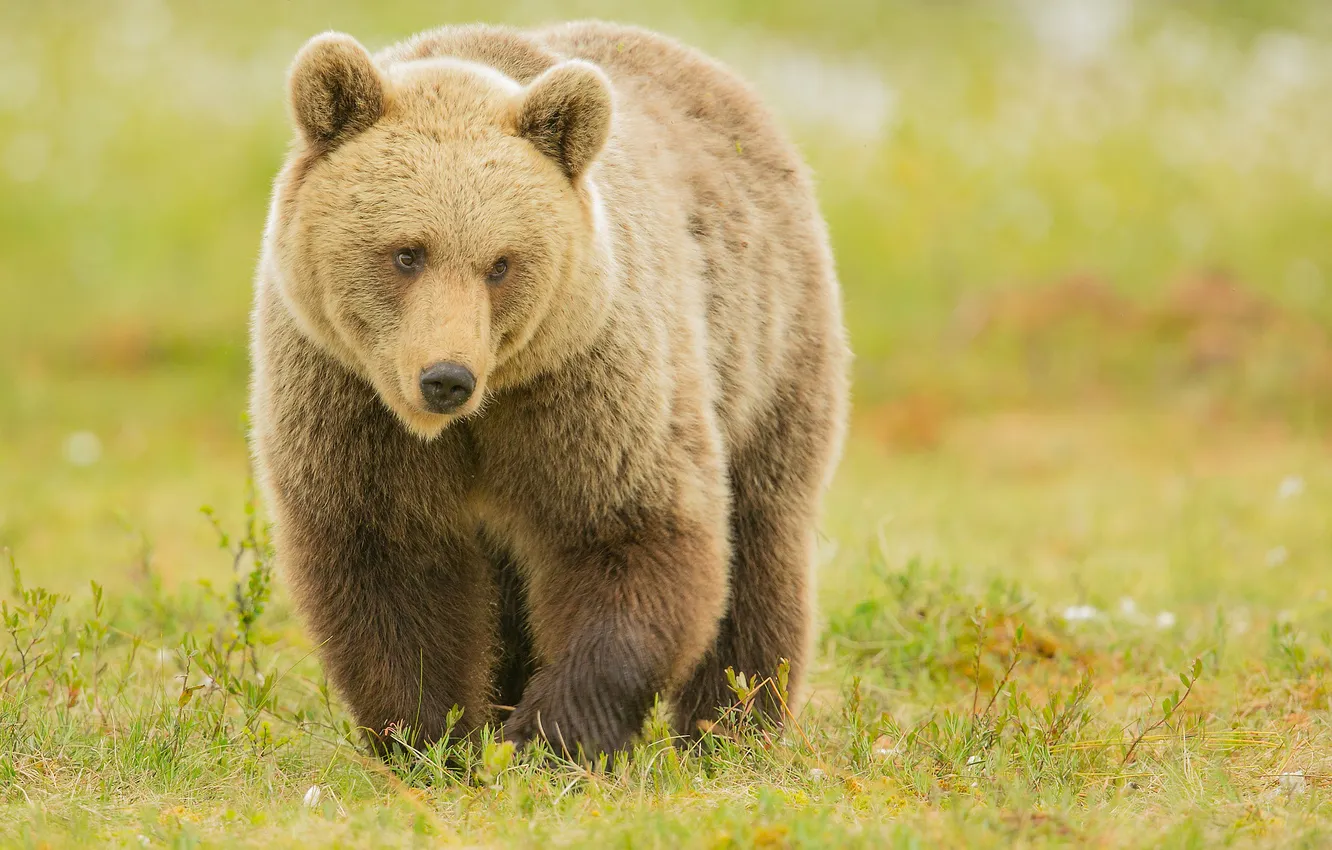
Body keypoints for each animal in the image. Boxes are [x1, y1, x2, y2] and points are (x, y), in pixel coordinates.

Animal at [249, 20, 849, 758]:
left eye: (501, 263)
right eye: (406, 253)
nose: (446, 378)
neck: (480, 414)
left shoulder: (587, 382)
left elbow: (631, 533)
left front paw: (549, 735)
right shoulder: (347, 400)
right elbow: (387, 564)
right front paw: (433, 737)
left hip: (766, 346)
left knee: (762, 543)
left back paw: (732, 729)